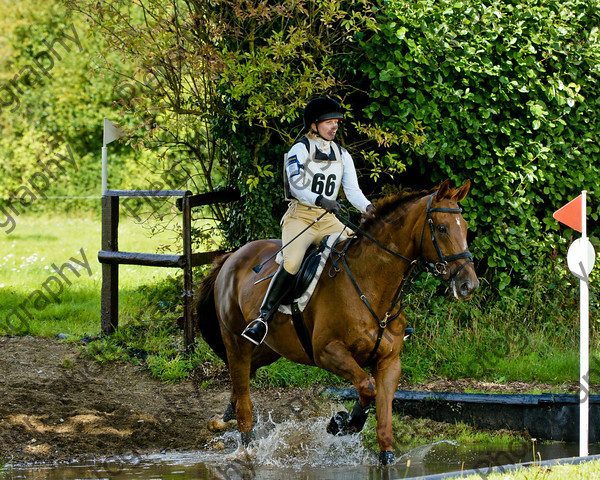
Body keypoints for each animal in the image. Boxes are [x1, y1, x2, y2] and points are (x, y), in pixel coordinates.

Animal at [196, 178, 478, 464]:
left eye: (465, 228)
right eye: (441, 228)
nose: (468, 285)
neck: (372, 286)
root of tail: (231, 256)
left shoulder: (389, 362)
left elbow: (383, 417)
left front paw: (377, 449)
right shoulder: (327, 352)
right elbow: (367, 387)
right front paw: (342, 422)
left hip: (269, 348)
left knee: (240, 383)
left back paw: (222, 420)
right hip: (236, 341)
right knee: (243, 396)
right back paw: (246, 446)